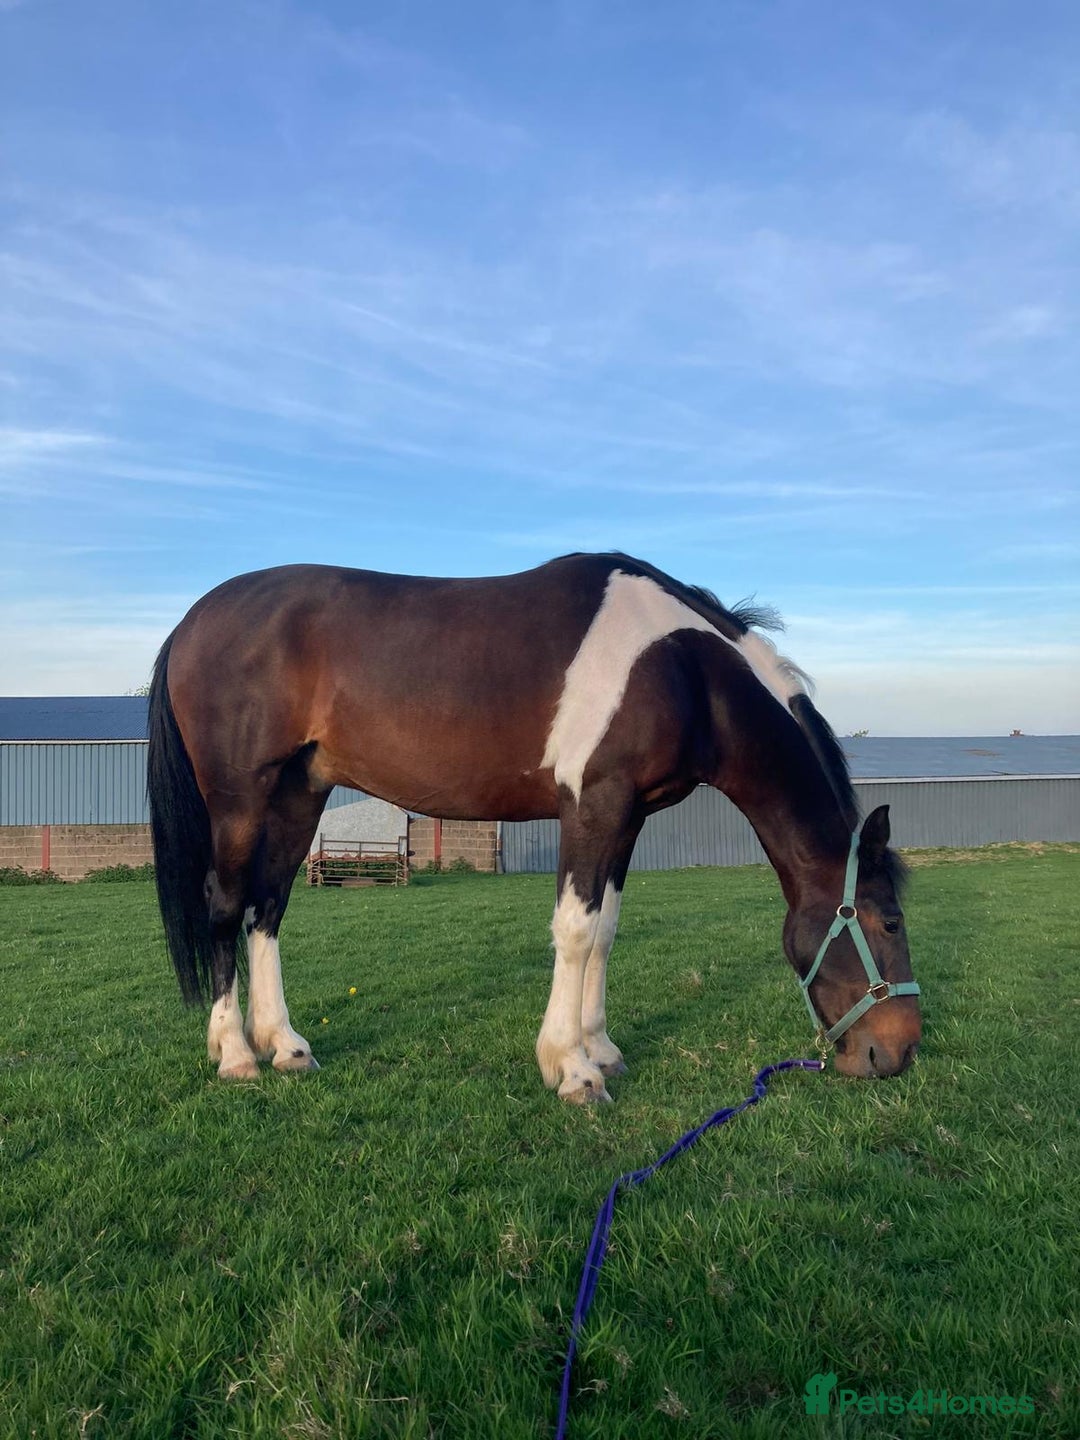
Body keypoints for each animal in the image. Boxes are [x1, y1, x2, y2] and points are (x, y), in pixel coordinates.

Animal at [147, 551, 921, 1100]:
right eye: (889, 922)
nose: (901, 1050)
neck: (681, 667)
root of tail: (193, 621)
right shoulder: (593, 804)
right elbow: (575, 930)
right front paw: (571, 1069)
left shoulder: (627, 816)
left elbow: (605, 929)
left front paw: (600, 1048)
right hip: (240, 798)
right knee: (225, 908)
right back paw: (237, 1054)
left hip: (299, 794)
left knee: (268, 909)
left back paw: (285, 1046)